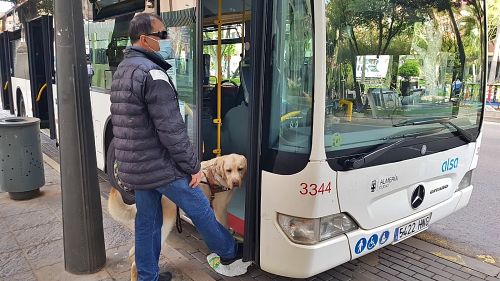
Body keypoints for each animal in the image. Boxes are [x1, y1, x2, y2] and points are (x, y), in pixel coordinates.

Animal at [107, 153, 246, 280]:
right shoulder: (220, 209)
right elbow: (223, 227)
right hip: (165, 225)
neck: (216, 173)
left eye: (240, 169)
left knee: (134, 252)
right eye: (228, 170)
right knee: (136, 261)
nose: (235, 182)